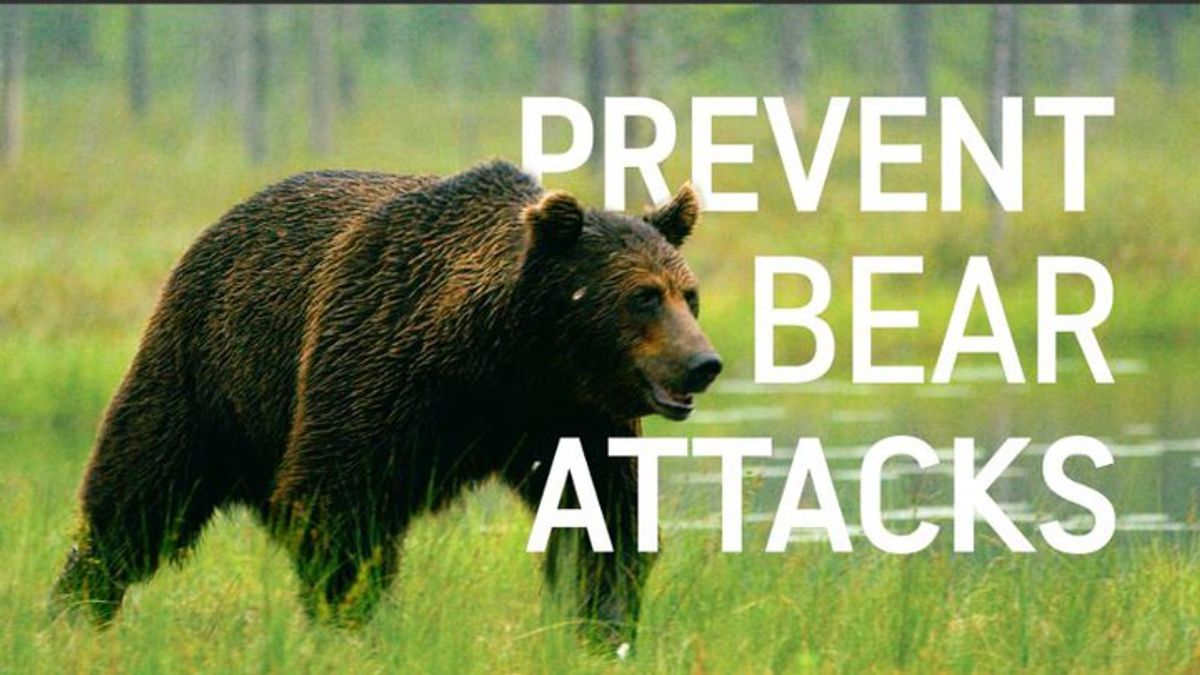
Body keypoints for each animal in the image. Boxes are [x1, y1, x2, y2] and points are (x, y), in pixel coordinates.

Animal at [50, 160, 722, 649]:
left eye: (688, 294)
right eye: (642, 296)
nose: (703, 363)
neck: (504, 359)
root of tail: (221, 226)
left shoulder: (571, 416)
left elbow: (602, 515)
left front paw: (602, 626)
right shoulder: (379, 362)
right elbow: (338, 507)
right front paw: (351, 624)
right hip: (208, 371)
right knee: (139, 494)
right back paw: (76, 606)